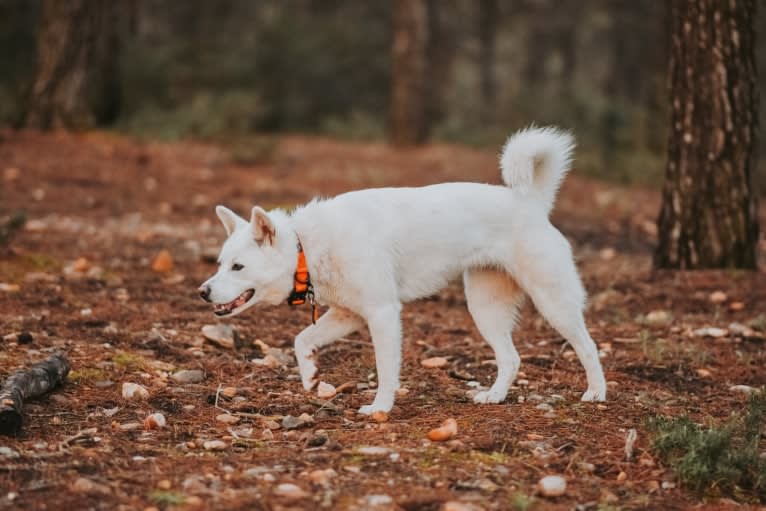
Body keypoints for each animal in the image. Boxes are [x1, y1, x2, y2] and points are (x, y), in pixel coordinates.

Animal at [201, 128, 608, 416]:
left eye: (238, 266)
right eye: (220, 263)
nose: (203, 292)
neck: (307, 246)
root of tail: (531, 202)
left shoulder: (382, 314)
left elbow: (385, 370)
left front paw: (380, 407)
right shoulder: (349, 314)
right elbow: (302, 340)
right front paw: (311, 377)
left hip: (553, 302)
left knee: (588, 346)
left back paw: (596, 392)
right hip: (485, 308)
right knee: (511, 359)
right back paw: (493, 396)